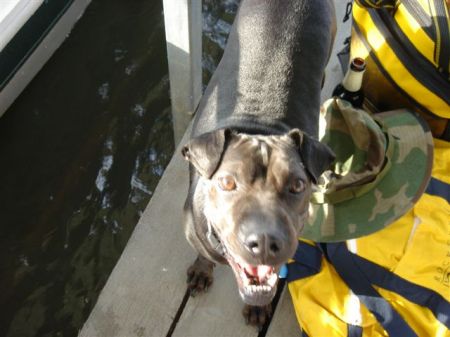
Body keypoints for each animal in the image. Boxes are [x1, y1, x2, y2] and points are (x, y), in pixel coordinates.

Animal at [181, 0, 336, 326]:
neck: (259, 127)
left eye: (298, 185)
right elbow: (203, 254)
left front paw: (258, 307)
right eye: (227, 182)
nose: (265, 242)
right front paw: (201, 271)